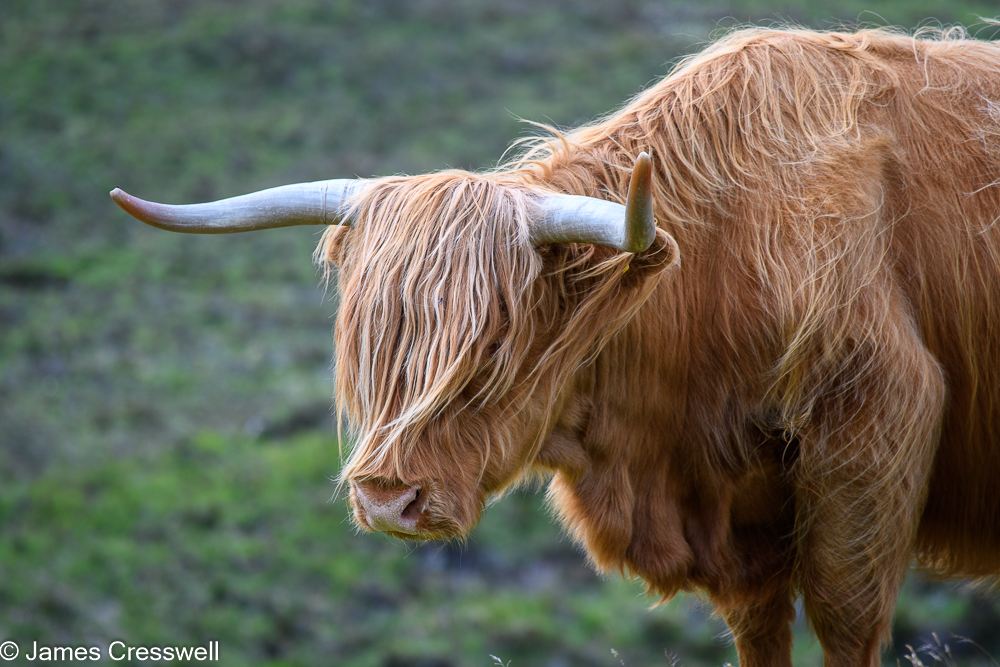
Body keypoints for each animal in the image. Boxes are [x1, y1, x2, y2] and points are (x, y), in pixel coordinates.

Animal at [110, 27, 1000, 667]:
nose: (389, 501)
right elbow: (760, 630)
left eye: (492, 345)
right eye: (367, 342)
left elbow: (846, 617)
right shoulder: (743, 528)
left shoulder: (875, 428)